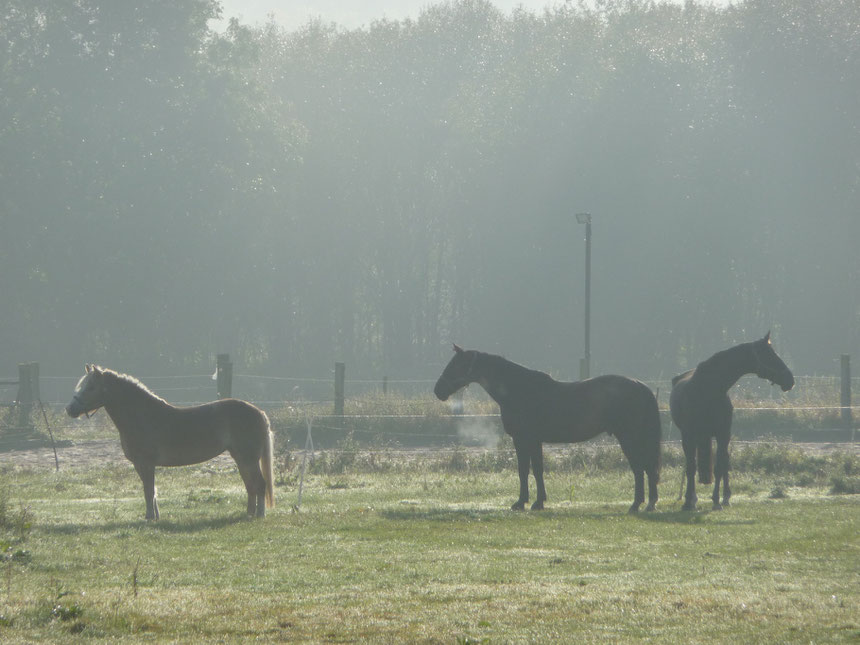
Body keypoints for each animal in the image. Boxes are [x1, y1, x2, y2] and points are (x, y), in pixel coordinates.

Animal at [67, 364, 276, 520]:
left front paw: (149, 518)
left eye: (91, 387)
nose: (70, 409)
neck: (143, 417)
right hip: (241, 459)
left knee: (259, 484)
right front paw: (155, 517)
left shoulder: (146, 463)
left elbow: (148, 490)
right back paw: (248, 514)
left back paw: (259, 515)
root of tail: (259, 413)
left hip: (248, 459)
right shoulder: (139, 465)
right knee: (250, 486)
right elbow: (152, 491)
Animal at [434, 348, 660, 512]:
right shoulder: (534, 441)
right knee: (646, 468)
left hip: (629, 438)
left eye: (455, 365)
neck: (519, 390)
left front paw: (524, 502)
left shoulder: (524, 440)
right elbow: (536, 469)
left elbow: (525, 470)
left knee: (640, 468)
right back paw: (648, 503)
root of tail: (640, 385)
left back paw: (637, 505)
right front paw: (538, 501)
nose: (438, 390)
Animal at [668, 332, 796, 508]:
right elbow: (691, 467)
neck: (707, 389)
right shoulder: (688, 436)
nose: (790, 379)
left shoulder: (723, 435)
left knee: (725, 462)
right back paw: (694, 498)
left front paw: (716, 501)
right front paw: (688, 501)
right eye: (769, 354)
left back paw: (726, 497)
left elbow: (719, 467)